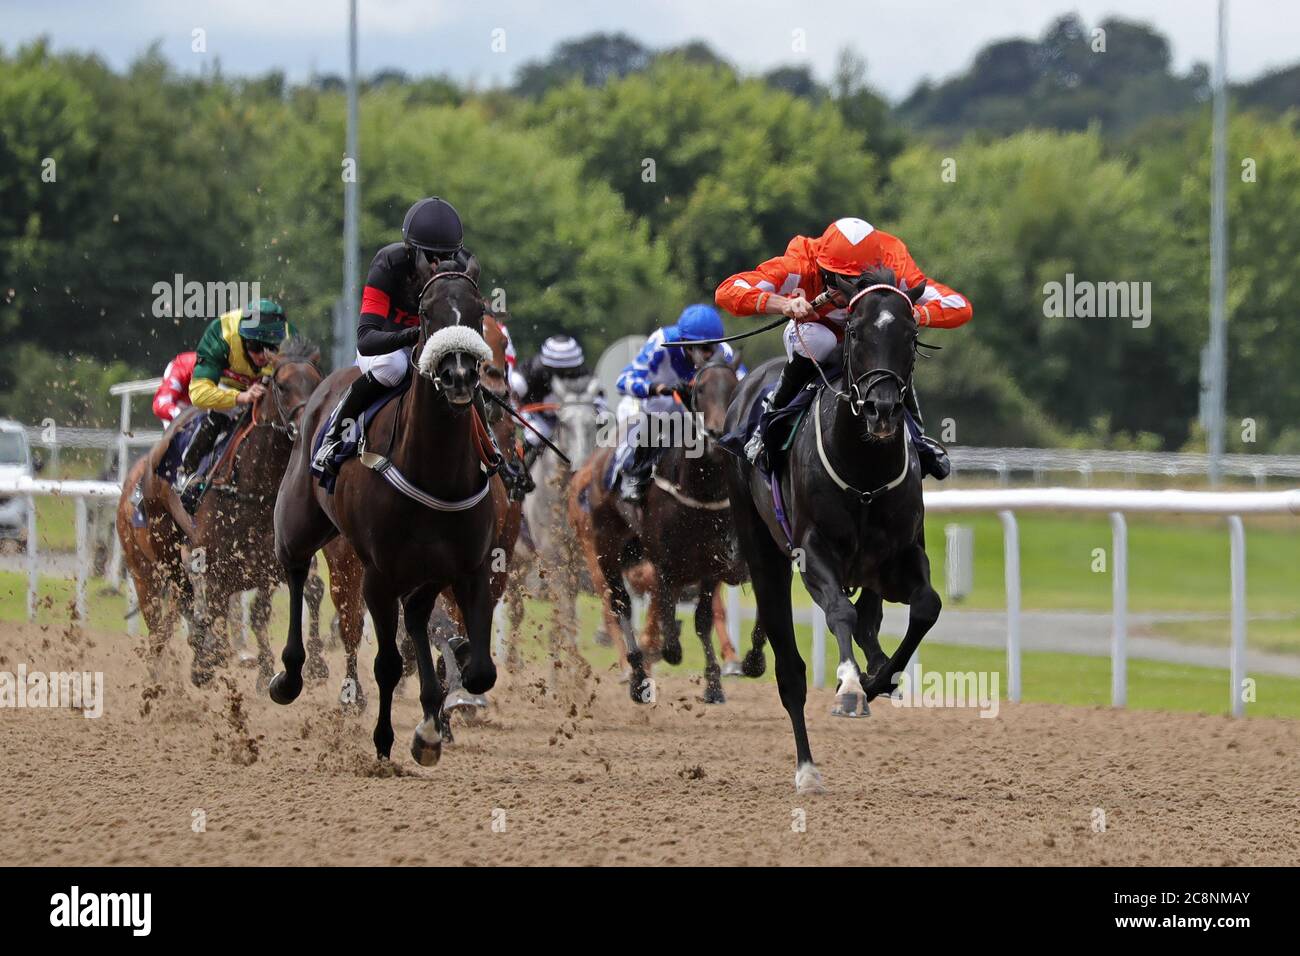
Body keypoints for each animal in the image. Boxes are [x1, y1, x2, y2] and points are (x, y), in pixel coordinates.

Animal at [115, 338, 330, 686]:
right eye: (282, 385)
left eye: (318, 381)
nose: (311, 424)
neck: (258, 487)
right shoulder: (215, 564)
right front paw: (209, 660)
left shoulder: (268, 562)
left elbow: (271, 607)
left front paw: (295, 668)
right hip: (149, 563)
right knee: (165, 618)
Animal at [271, 257, 499, 764]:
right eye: (427, 311)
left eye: (477, 310)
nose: (458, 375)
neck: (434, 468)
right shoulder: (378, 572)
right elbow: (388, 663)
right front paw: (383, 741)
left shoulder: (470, 567)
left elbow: (480, 670)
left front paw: (430, 729)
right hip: (299, 520)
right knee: (295, 571)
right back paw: (289, 676)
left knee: (416, 616)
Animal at [722, 267, 946, 790]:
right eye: (857, 332)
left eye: (911, 335)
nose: (883, 409)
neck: (863, 473)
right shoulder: (813, 553)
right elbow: (840, 614)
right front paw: (848, 687)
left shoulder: (900, 558)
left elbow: (926, 606)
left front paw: (877, 680)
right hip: (763, 551)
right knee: (790, 668)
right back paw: (806, 767)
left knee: (870, 621)